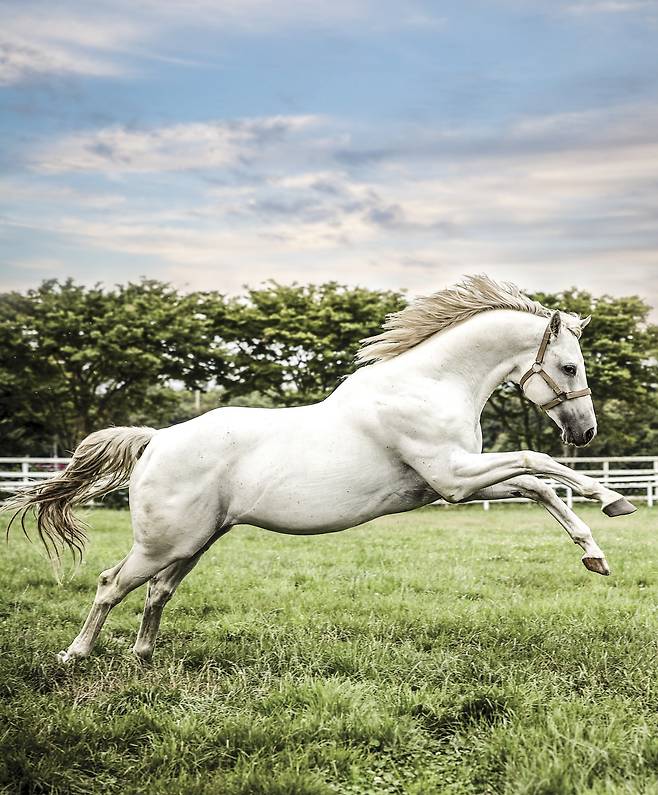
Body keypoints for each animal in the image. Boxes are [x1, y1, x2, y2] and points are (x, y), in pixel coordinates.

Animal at [3, 276, 632, 664]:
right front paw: (612, 500)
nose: (585, 432)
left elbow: (538, 486)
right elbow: (538, 463)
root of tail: (157, 440)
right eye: (569, 366)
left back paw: (143, 656)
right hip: (164, 542)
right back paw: (76, 655)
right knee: (112, 583)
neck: (426, 385)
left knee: (157, 592)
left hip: (194, 543)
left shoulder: (449, 482)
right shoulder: (452, 477)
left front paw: (594, 553)